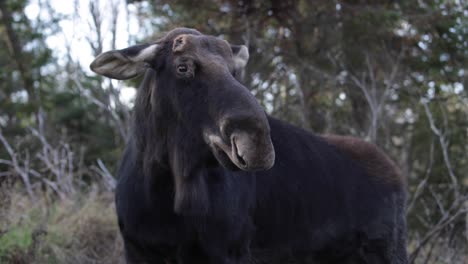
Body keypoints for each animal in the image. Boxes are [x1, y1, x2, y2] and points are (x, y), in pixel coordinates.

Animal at [90, 27, 406, 262]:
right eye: (183, 67)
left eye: (234, 70)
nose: (256, 143)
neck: (164, 188)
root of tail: (395, 173)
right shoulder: (138, 249)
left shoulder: (230, 250)